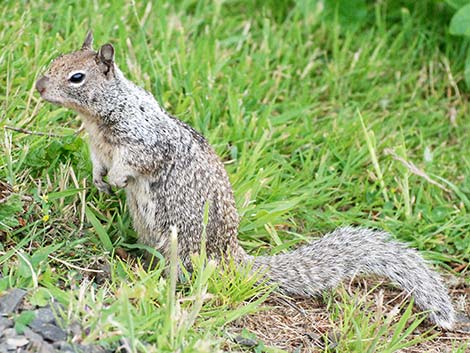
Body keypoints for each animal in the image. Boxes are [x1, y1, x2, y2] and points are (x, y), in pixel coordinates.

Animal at [35, 31, 456, 328]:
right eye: (55, 59)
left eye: (77, 77)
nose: (39, 86)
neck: (99, 117)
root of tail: (230, 255)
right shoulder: (96, 146)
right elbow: (97, 163)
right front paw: (100, 181)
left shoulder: (144, 140)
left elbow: (137, 161)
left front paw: (120, 180)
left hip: (182, 241)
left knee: (186, 274)